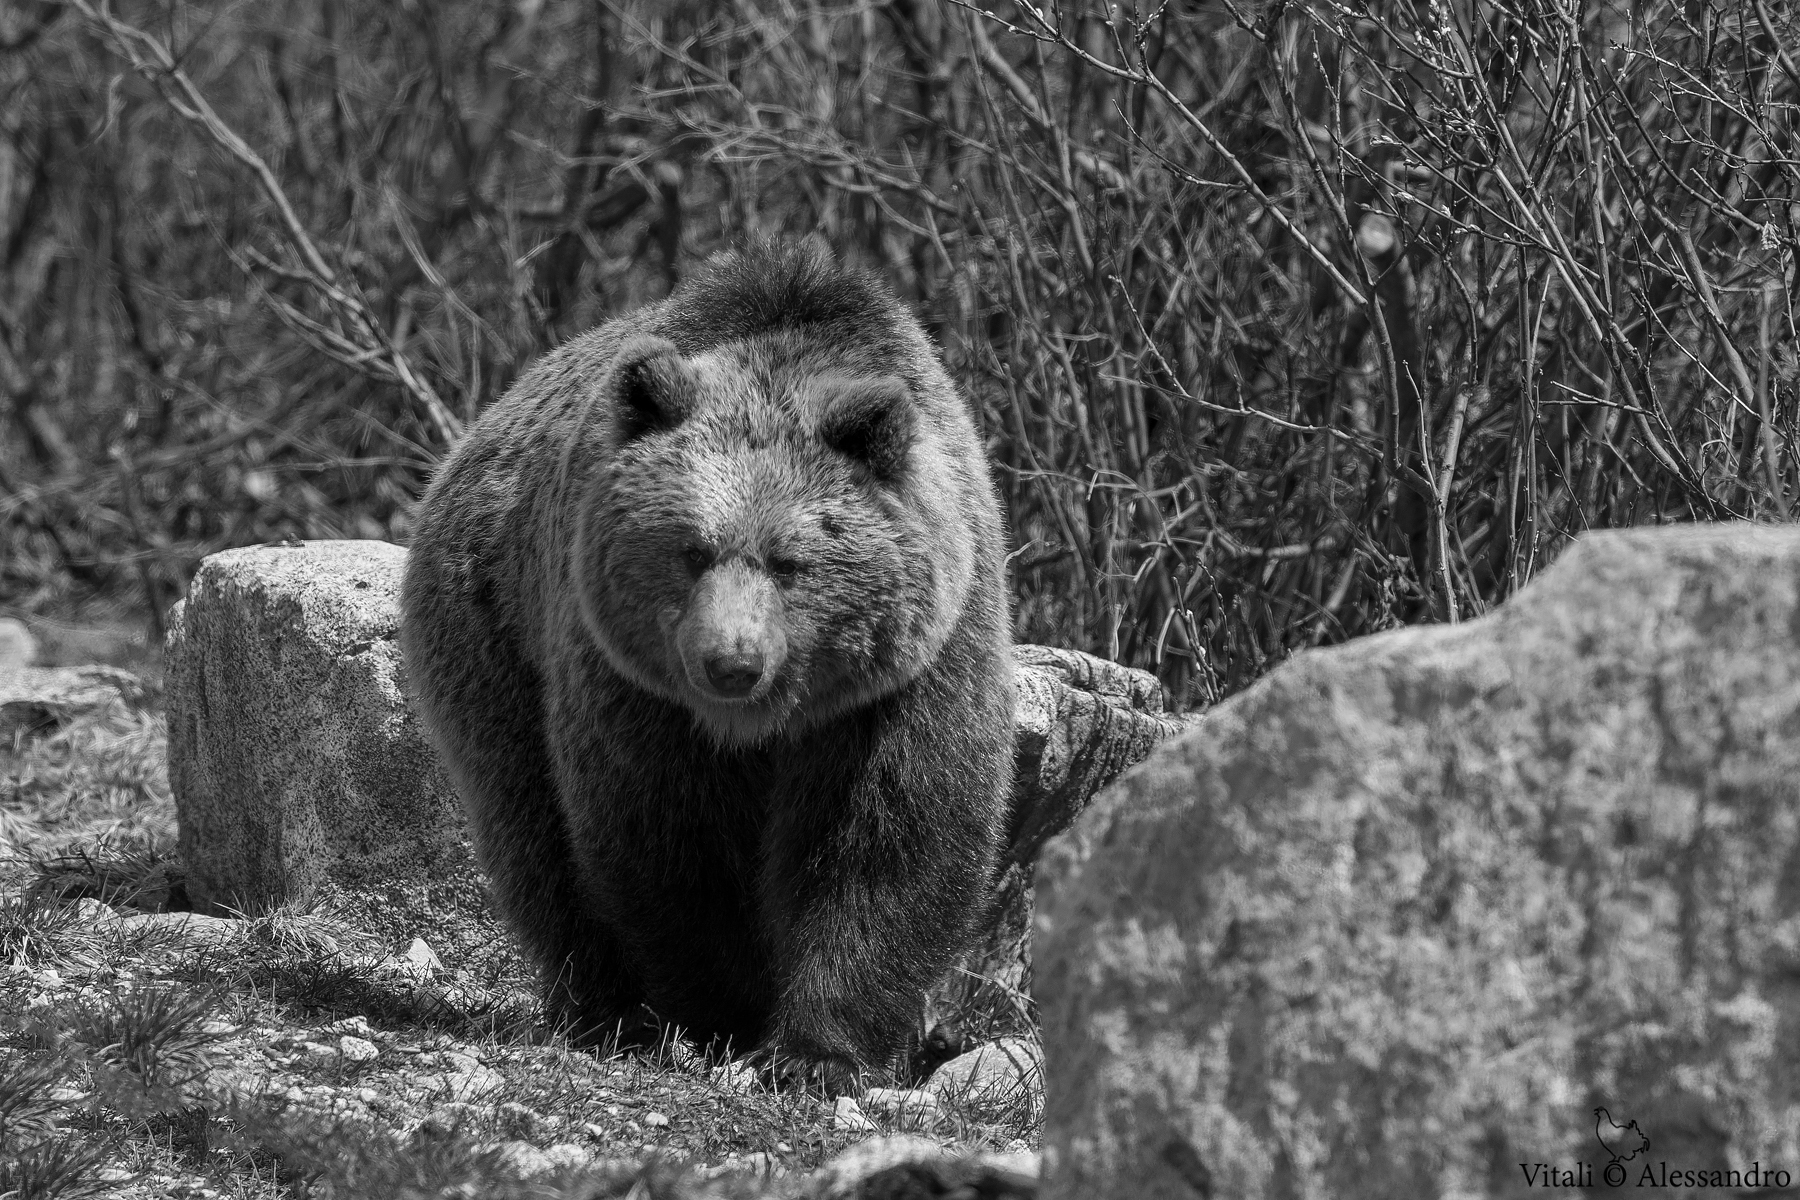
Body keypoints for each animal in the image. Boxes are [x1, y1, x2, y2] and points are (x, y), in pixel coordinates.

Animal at [399, 241, 1016, 1091]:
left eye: (789, 561)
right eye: (692, 549)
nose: (731, 662)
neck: (759, 725)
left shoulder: (906, 679)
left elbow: (887, 842)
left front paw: (816, 1053)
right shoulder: (636, 687)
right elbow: (669, 841)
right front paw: (728, 1016)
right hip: (493, 631)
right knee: (531, 829)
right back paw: (608, 1016)